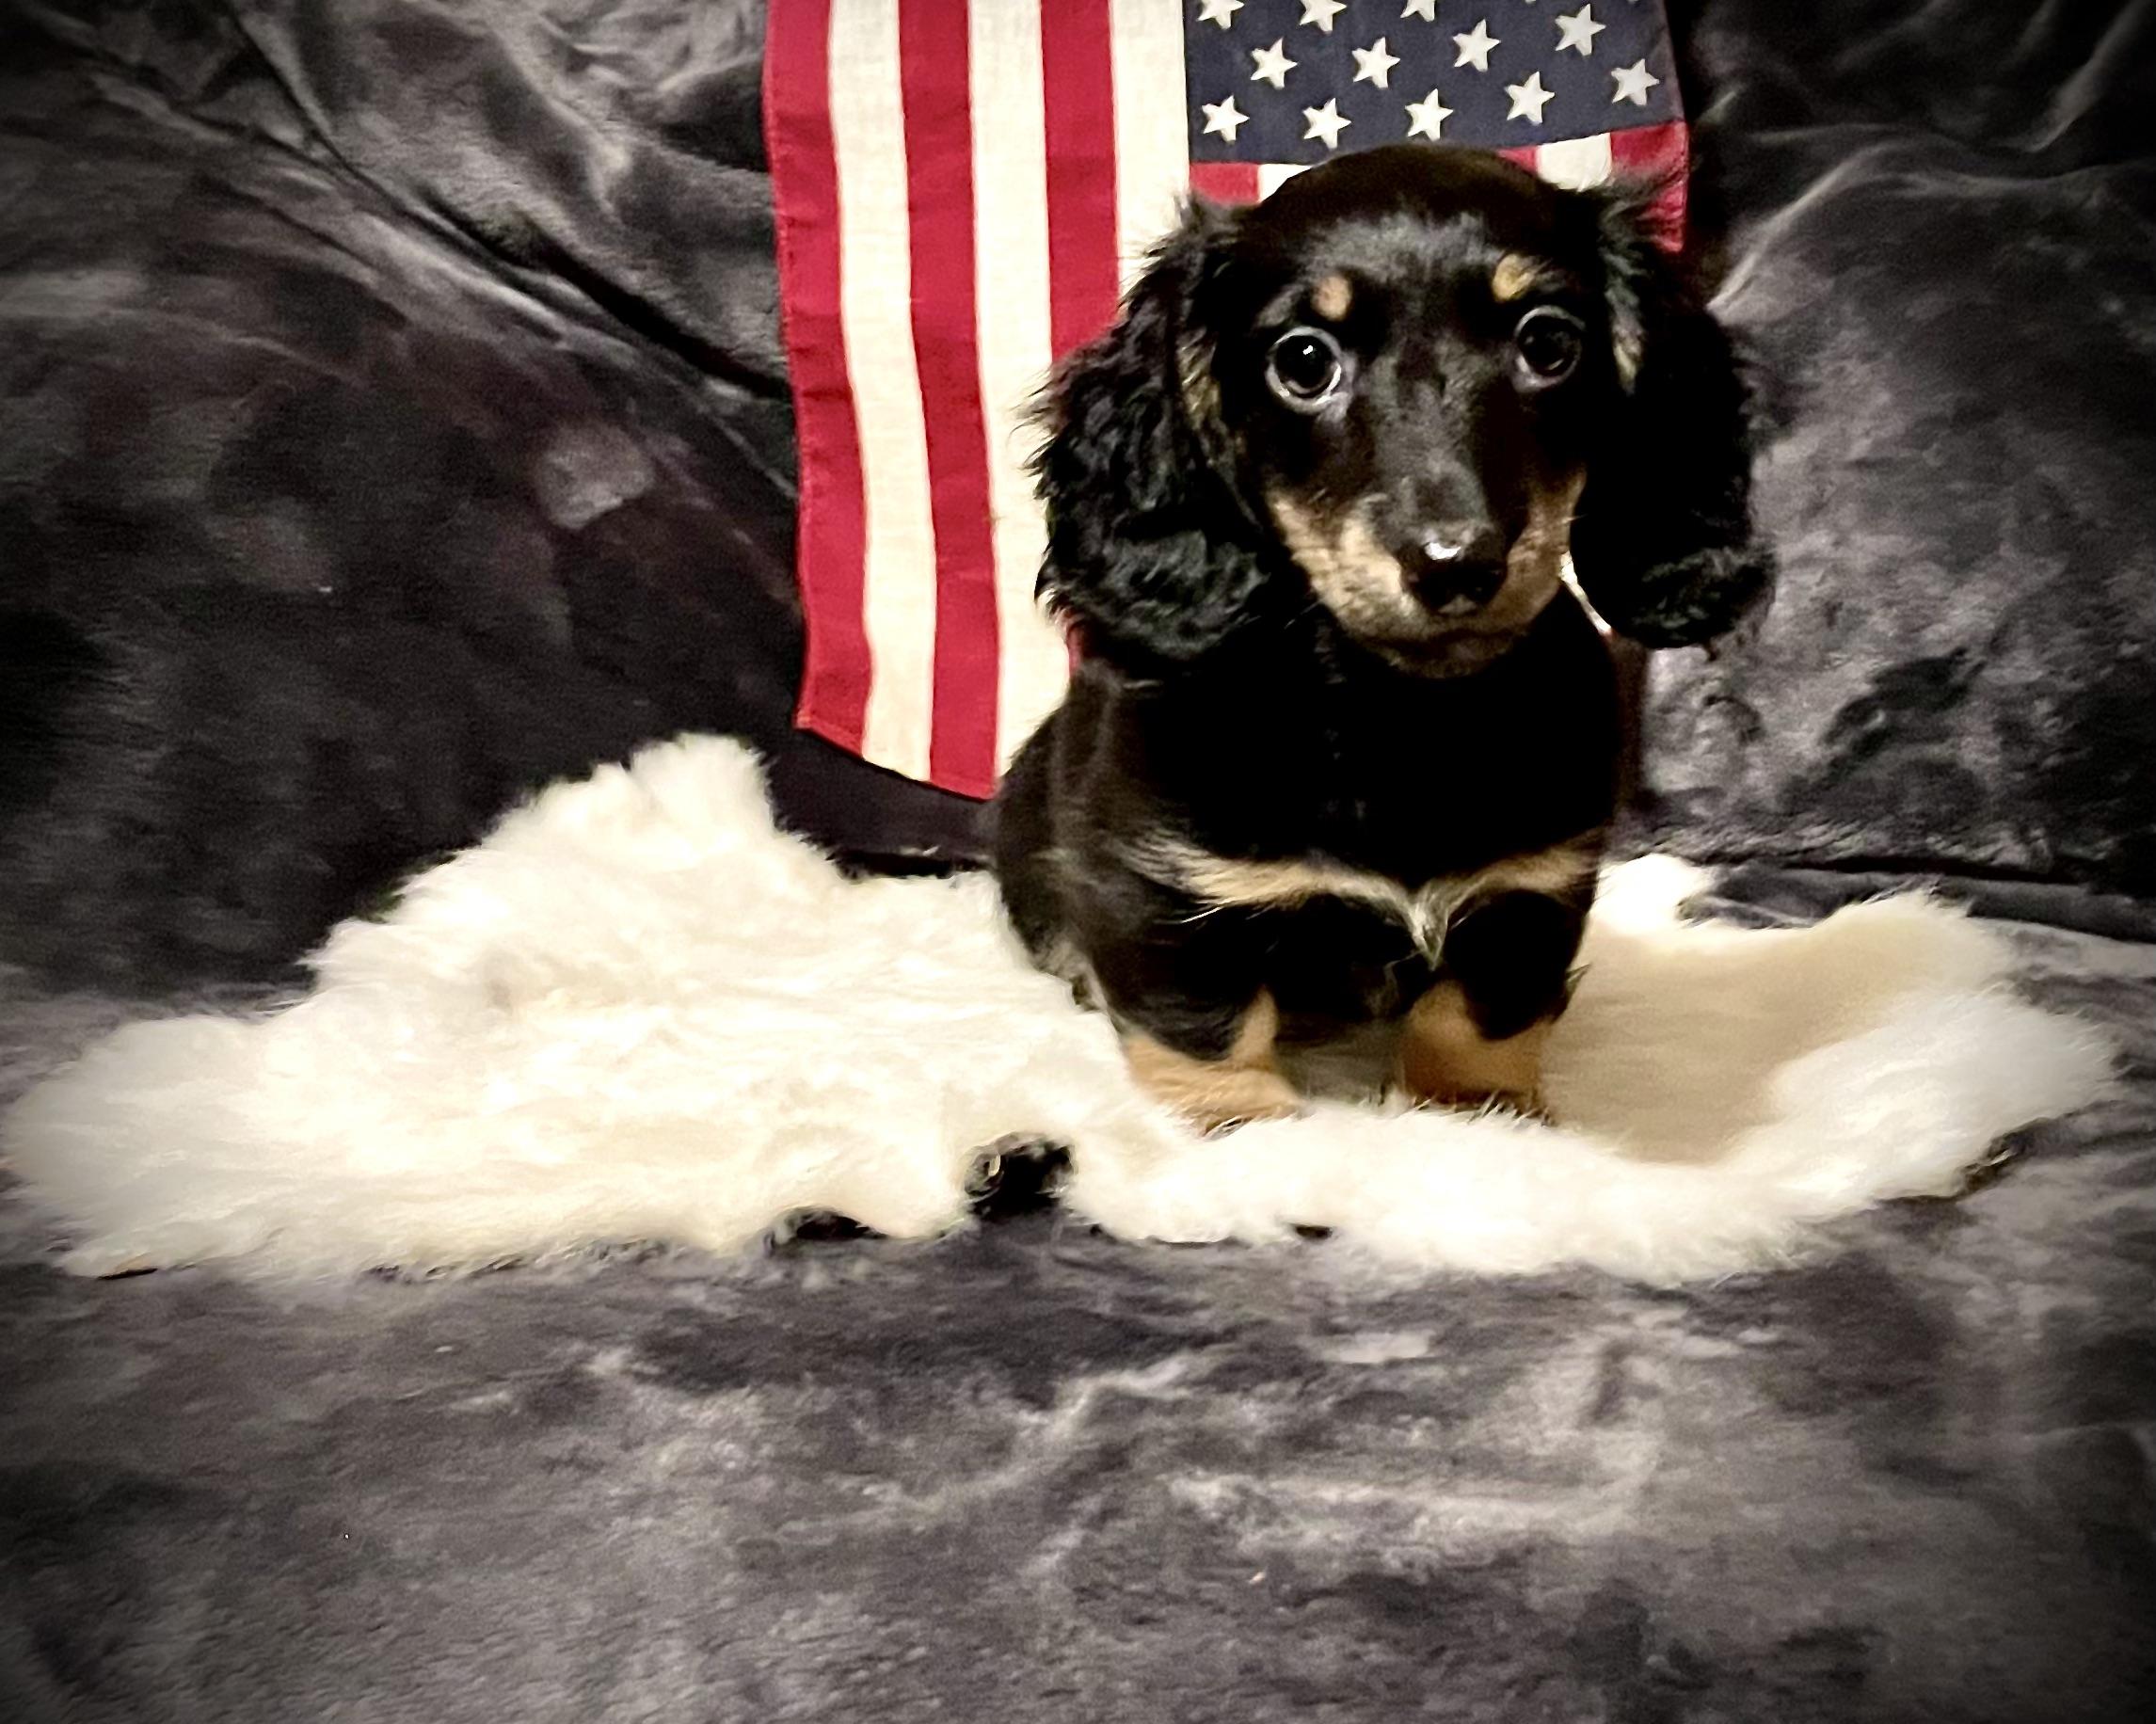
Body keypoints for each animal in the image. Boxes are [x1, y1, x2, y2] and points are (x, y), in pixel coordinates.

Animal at [993, 145, 1767, 1133]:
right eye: (1303, 361)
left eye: (1547, 344)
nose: (1456, 565)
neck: (1394, 716)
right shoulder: (1159, 887)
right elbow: (1206, 1027)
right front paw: (1240, 1130)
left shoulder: (1532, 891)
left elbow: (1473, 1017)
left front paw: (1478, 1114)